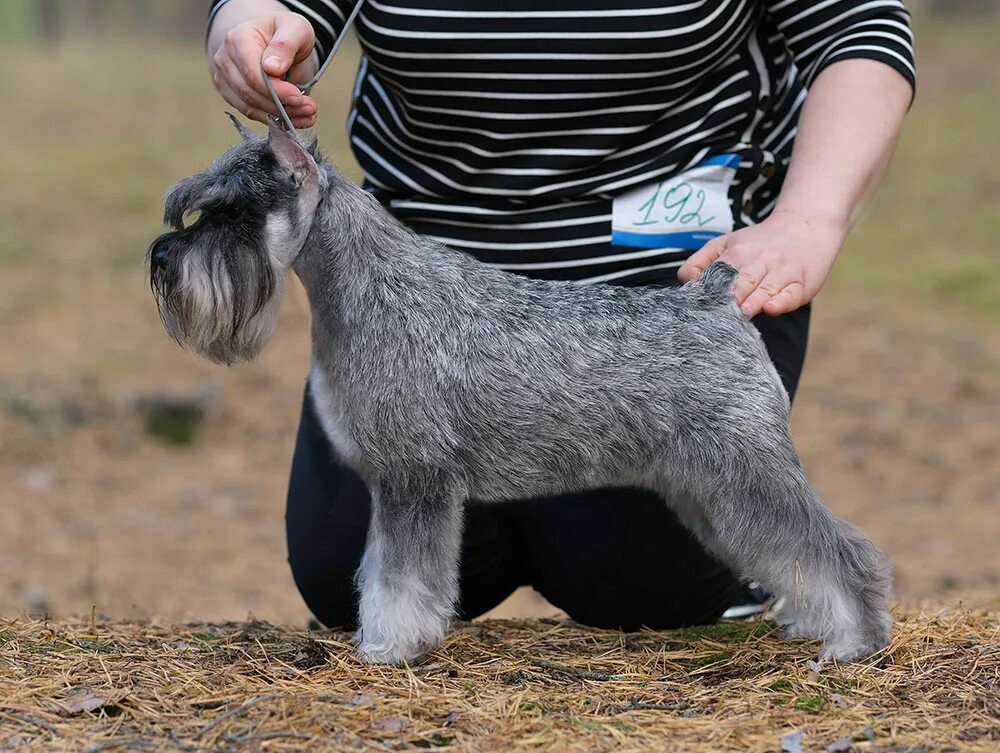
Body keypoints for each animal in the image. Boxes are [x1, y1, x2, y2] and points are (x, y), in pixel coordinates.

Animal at [146, 117, 892, 664]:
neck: (365, 286)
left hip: (744, 473)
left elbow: (398, 578)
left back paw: (855, 641)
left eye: (234, 213)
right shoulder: (398, 486)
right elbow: (381, 568)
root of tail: (718, 295)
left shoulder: (415, 480)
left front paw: (387, 647)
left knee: (834, 549)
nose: (161, 259)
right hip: (704, 491)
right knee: (790, 555)